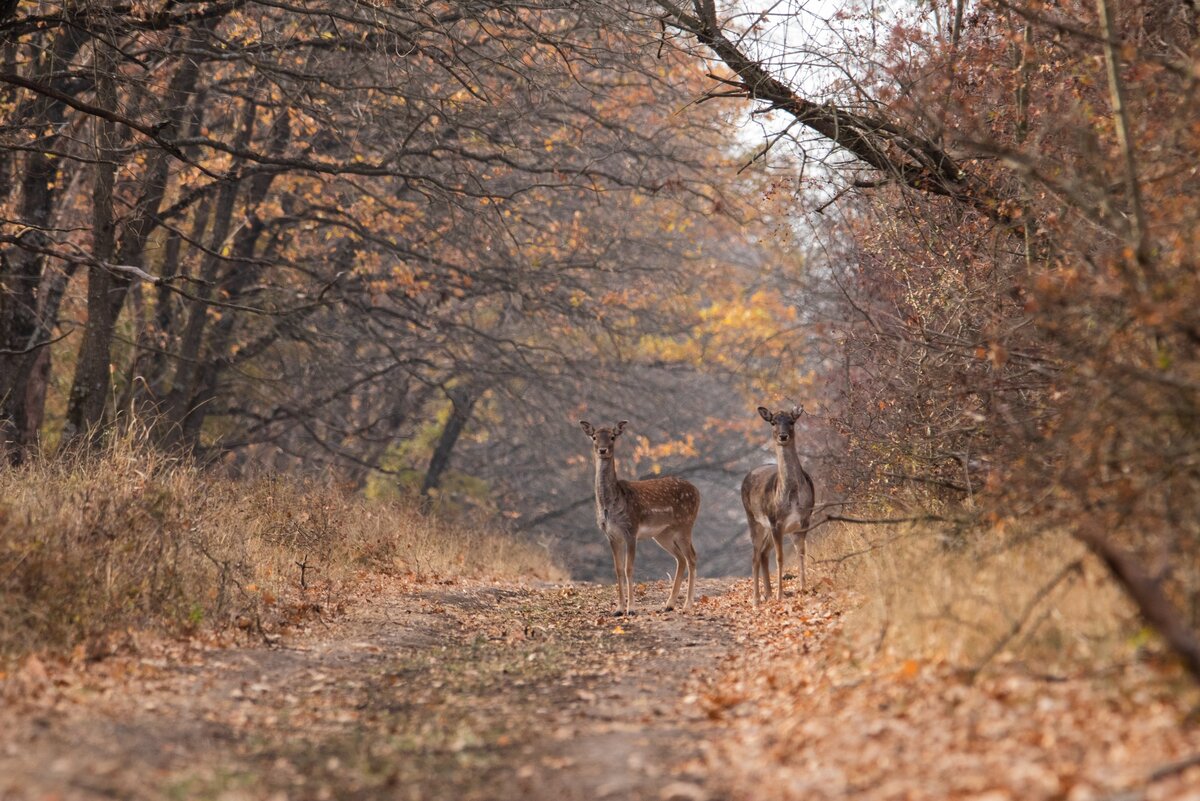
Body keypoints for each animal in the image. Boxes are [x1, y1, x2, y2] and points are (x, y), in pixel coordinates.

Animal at [576, 422, 700, 618]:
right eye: (594, 437)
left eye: (612, 437)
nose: (603, 450)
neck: (611, 505)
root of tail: (697, 492)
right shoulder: (611, 535)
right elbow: (618, 569)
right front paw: (618, 609)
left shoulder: (631, 530)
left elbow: (629, 569)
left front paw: (632, 609)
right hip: (663, 534)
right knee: (680, 558)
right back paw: (669, 605)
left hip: (685, 524)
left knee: (692, 557)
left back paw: (687, 606)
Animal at [739, 402, 816, 604]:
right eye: (773, 422)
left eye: (792, 421)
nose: (783, 436)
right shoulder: (775, 522)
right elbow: (780, 558)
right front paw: (781, 595)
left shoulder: (804, 520)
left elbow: (801, 552)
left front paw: (803, 589)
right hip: (754, 519)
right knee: (755, 556)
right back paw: (757, 599)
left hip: (767, 528)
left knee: (764, 553)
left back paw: (768, 594)